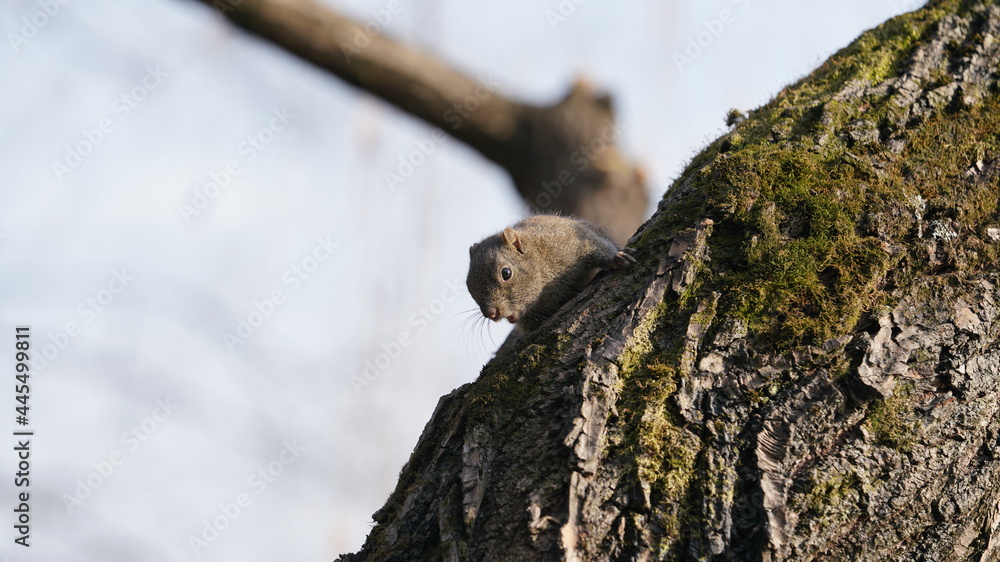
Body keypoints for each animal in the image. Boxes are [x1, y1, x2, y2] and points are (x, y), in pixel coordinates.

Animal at [466, 214, 637, 333]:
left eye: (506, 273)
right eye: (469, 286)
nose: (490, 313)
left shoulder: (570, 239)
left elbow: (595, 245)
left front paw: (614, 258)